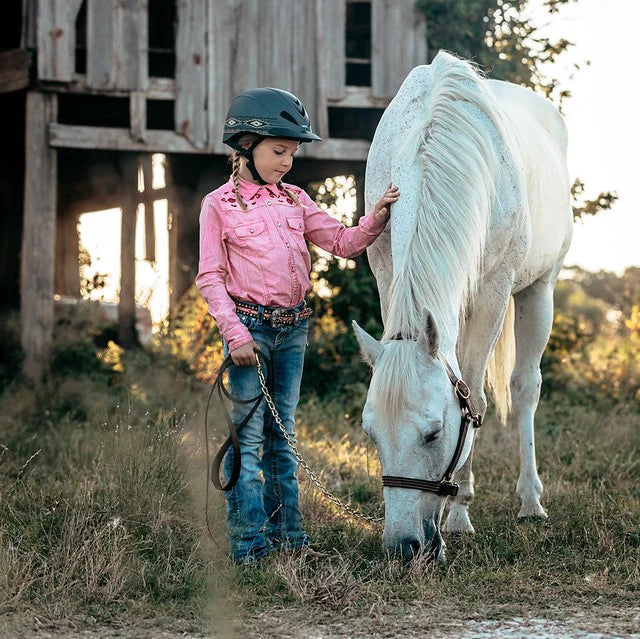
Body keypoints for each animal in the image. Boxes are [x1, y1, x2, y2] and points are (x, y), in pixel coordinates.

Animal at [352, 51, 572, 560]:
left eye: (434, 433)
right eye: (371, 434)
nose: (403, 547)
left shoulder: (492, 291)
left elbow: (477, 395)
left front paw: (459, 515)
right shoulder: (387, 277)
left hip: (538, 291)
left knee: (525, 388)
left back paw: (530, 502)